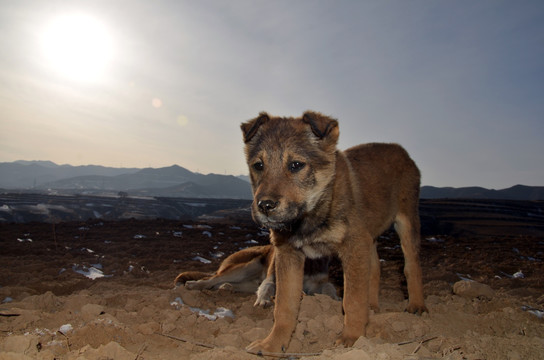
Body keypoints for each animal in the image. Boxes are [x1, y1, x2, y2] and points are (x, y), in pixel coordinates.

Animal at [241, 111, 424, 352]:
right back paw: (372, 306)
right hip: (369, 237)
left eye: (296, 165)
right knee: (375, 269)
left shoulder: (353, 247)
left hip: (406, 222)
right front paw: (273, 343)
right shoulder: (288, 254)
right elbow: (284, 306)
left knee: (412, 266)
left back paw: (416, 305)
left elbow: (352, 299)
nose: (265, 206)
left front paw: (352, 338)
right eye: (258, 165)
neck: (311, 214)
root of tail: (401, 150)